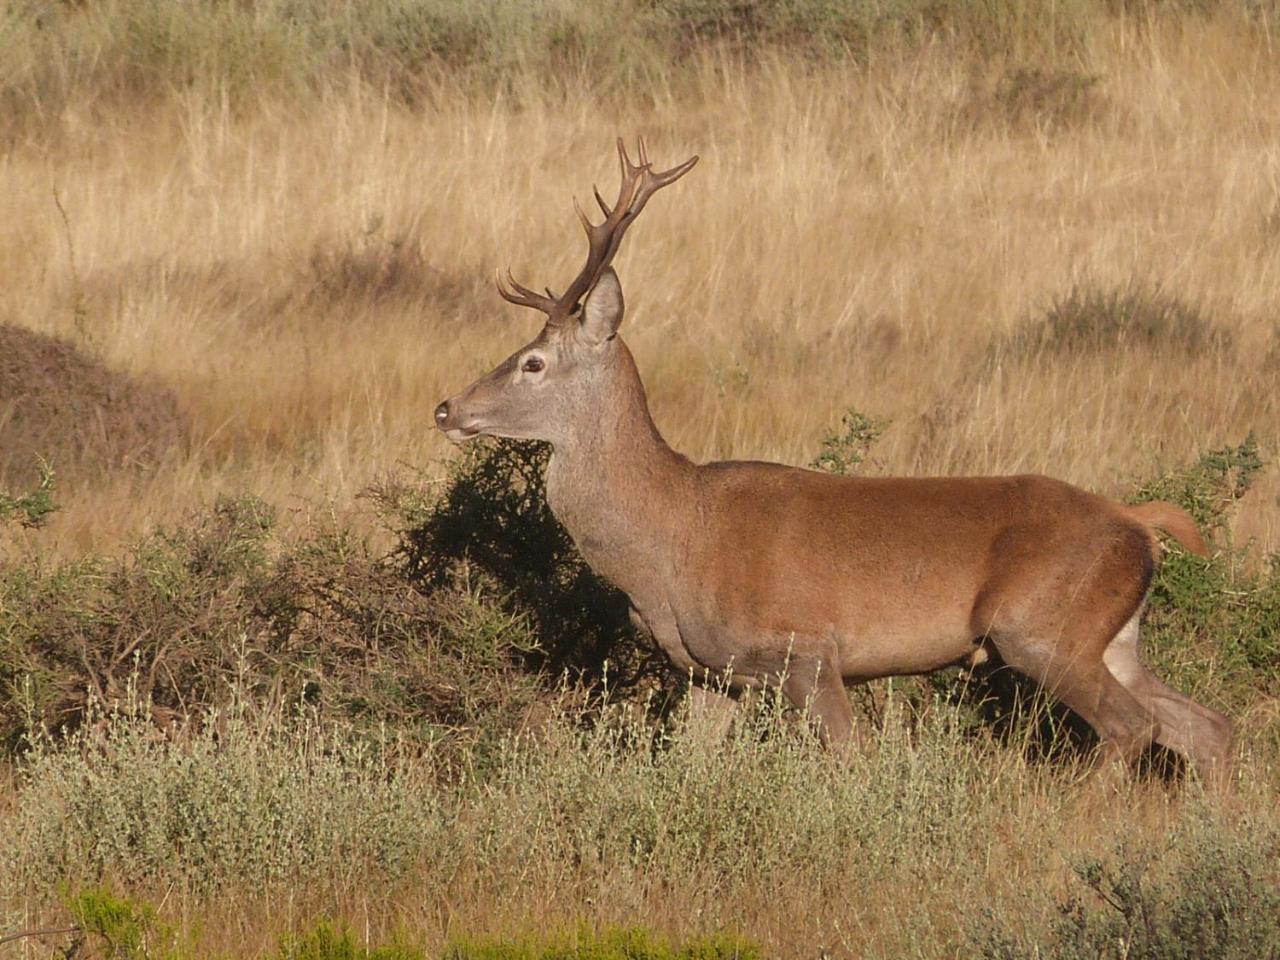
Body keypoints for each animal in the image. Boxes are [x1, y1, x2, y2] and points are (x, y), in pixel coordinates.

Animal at [435, 136, 1233, 788]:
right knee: (1204, 726)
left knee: (1134, 726)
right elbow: (688, 764)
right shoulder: (711, 674)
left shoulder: (807, 651)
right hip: (1113, 636)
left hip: (1041, 627)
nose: (446, 409)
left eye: (533, 362)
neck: (670, 541)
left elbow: (850, 761)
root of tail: (1138, 524)